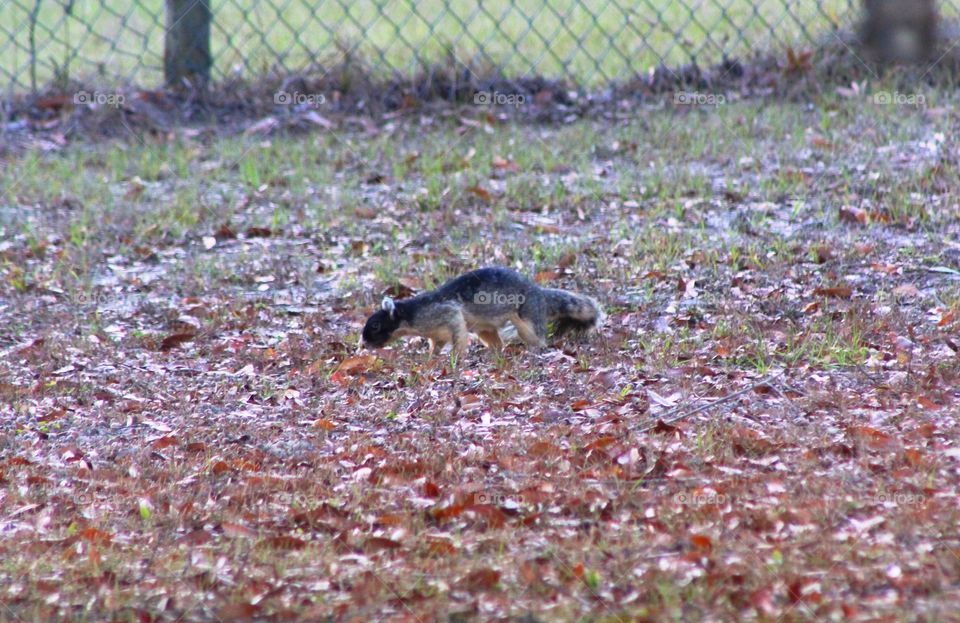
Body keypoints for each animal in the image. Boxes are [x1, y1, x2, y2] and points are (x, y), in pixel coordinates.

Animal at [358, 266, 600, 358]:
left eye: (376, 325)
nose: (362, 344)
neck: (410, 315)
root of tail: (538, 293)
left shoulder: (445, 313)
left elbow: (457, 332)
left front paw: (456, 356)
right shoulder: (435, 333)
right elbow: (436, 345)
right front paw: (431, 357)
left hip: (527, 316)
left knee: (537, 336)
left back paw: (535, 348)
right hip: (484, 329)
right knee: (497, 344)